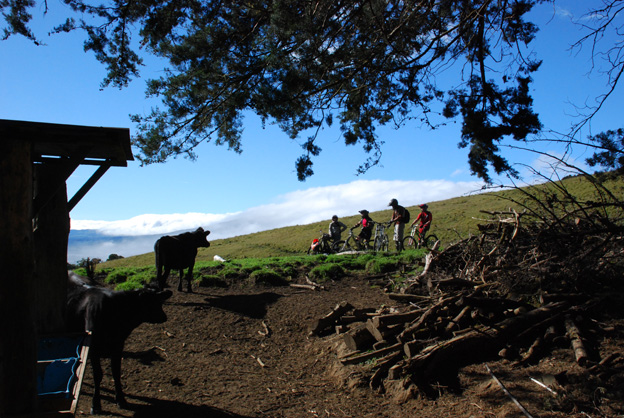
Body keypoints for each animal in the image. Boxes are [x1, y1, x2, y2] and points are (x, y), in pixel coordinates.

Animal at [66, 278, 172, 414]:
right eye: (151, 301)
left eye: (160, 301)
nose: (164, 317)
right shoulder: (93, 349)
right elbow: (98, 375)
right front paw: (96, 404)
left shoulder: (118, 346)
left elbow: (116, 372)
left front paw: (121, 400)